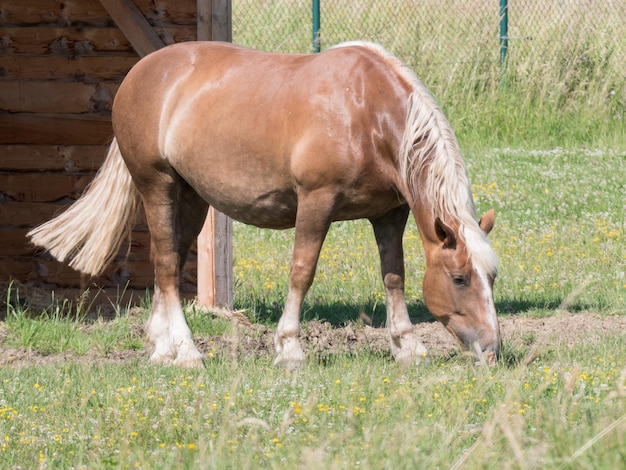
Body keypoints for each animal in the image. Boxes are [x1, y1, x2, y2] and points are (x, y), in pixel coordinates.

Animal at [28, 41, 498, 368]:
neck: (367, 114)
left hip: (191, 197)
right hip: (156, 185)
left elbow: (394, 276)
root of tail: (140, 73)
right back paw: (187, 352)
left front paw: (407, 346)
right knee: (164, 265)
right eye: (459, 279)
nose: (492, 350)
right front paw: (289, 349)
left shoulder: (389, 213)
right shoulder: (317, 201)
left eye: (492, 277)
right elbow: (302, 271)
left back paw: (162, 349)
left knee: (171, 261)